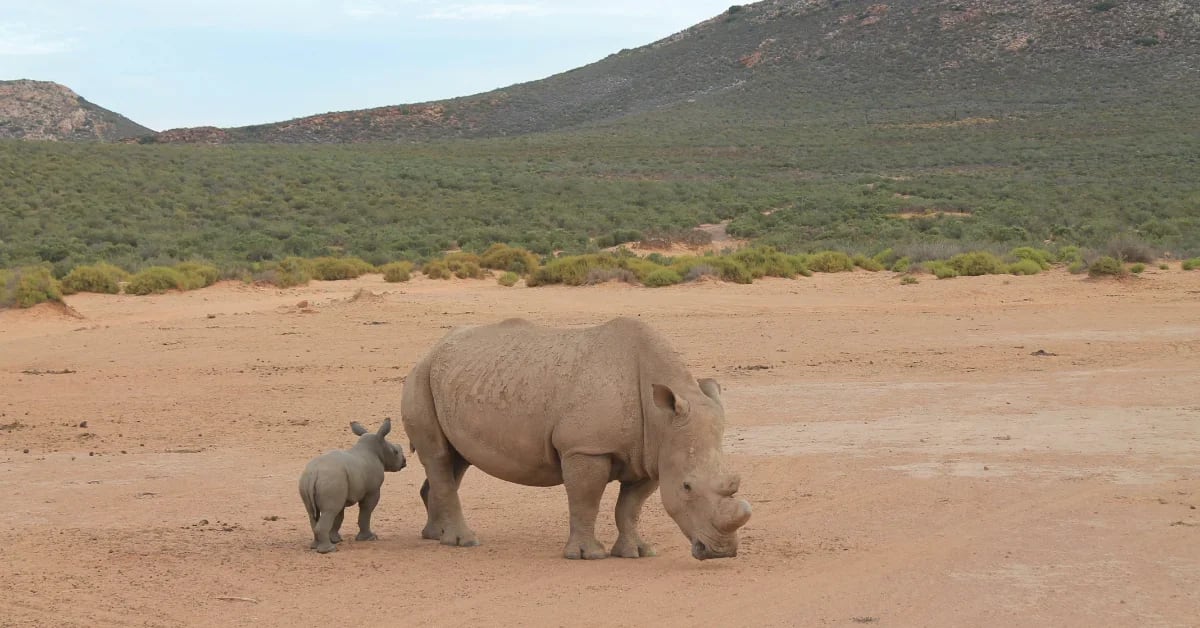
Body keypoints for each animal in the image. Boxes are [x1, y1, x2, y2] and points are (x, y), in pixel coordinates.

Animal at [298, 419, 407, 553]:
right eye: (395, 452)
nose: (404, 461)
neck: (377, 448)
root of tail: (314, 473)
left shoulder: (341, 492)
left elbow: (339, 517)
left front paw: (336, 539)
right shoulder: (372, 490)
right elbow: (366, 511)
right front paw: (370, 538)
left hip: (311, 481)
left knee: (313, 512)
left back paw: (316, 546)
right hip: (331, 479)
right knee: (329, 511)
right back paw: (329, 550)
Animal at [400, 317, 751, 560]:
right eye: (687, 487)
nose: (720, 552)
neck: (661, 420)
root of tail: (431, 349)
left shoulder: (652, 456)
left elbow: (630, 507)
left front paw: (638, 552)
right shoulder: (586, 448)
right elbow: (586, 500)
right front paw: (587, 555)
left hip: (449, 378)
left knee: (454, 462)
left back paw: (434, 535)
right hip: (420, 376)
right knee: (439, 457)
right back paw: (464, 542)